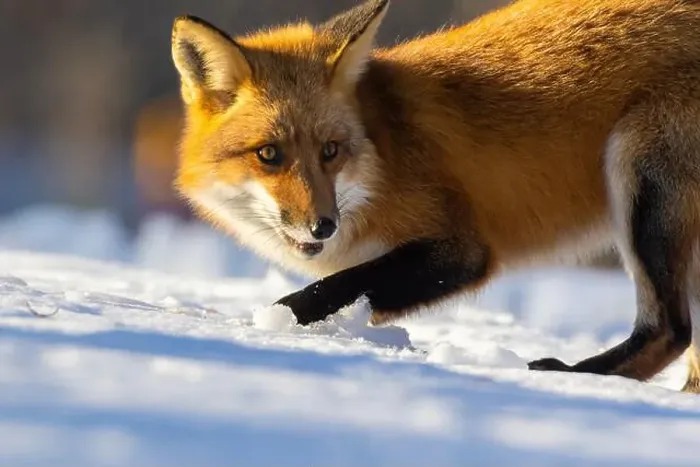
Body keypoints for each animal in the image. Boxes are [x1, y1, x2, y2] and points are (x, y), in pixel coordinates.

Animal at [171, 0, 700, 392]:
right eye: (269, 154)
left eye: (330, 151)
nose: (323, 225)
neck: (385, 152)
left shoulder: (460, 249)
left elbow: (328, 290)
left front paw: (264, 326)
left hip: (641, 184)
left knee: (670, 330)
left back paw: (571, 378)